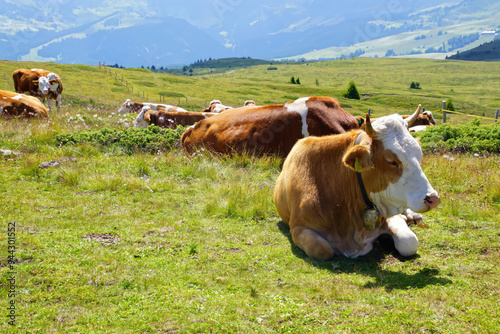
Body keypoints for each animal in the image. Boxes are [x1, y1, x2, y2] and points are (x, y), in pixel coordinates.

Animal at [272, 105, 440, 260]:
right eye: (392, 162)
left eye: (419, 155)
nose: (433, 198)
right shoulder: (298, 227)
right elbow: (322, 250)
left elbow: (408, 242)